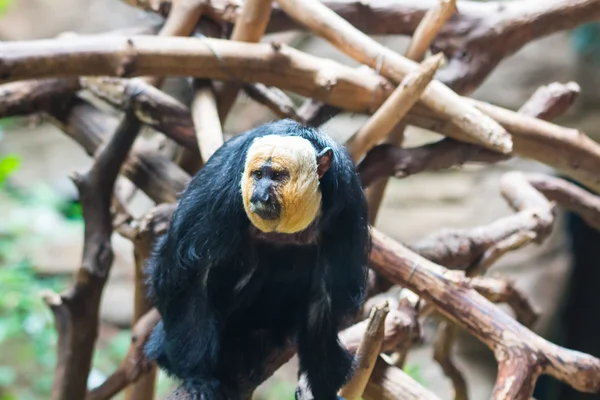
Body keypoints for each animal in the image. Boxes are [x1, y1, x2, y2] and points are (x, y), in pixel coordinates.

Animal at [144, 119, 370, 400]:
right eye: (258, 175)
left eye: (277, 176)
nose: (260, 194)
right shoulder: (221, 188)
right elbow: (185, 273)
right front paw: (198, 376)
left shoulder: (347, 204)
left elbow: (327, 296)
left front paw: (324, 389)